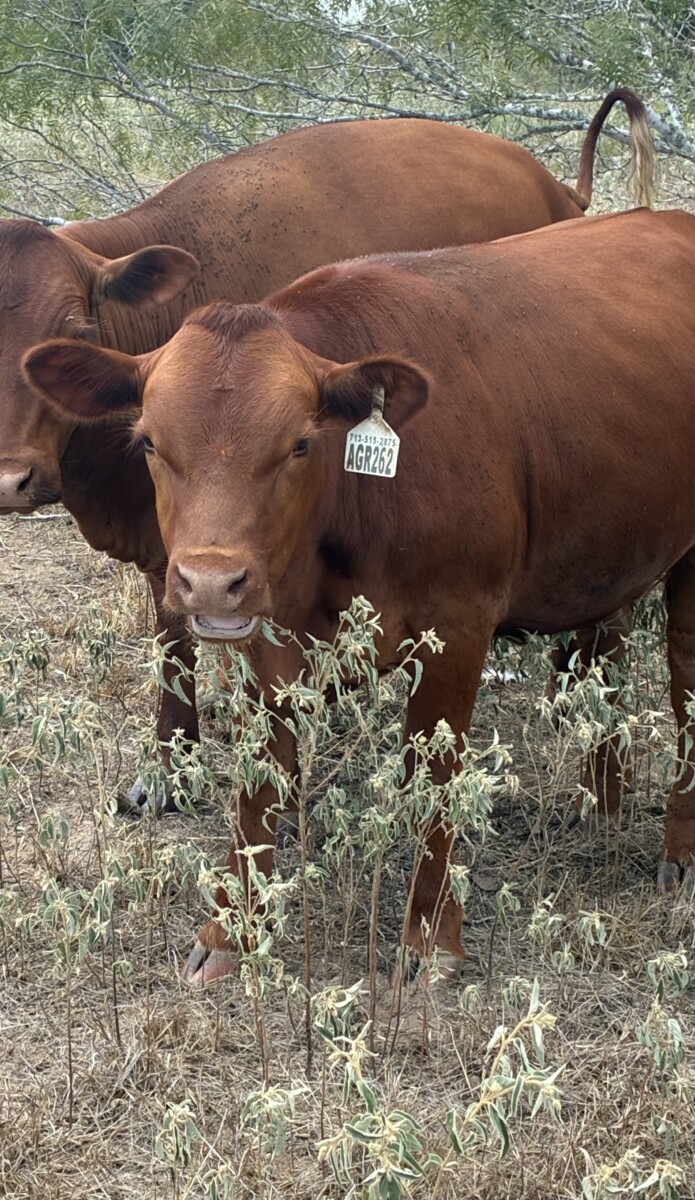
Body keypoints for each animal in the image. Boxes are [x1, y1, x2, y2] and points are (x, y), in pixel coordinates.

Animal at [1, 94, 654, 809]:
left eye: (75, 326)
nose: (11, 478)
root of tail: (556, 186)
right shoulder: (170, 548)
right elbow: (175, 648)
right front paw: (170, 769)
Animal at [23, 206, 695, 986]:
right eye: (150, 442)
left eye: (300, 443)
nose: (210, 579)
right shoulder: (266, 638)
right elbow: (257, 787)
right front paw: (231, 930)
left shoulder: (459, 628)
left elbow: (436, 783)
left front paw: (428, 939)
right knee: (604, 652)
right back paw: (604, 802)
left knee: (685, 691)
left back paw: (678, 853)